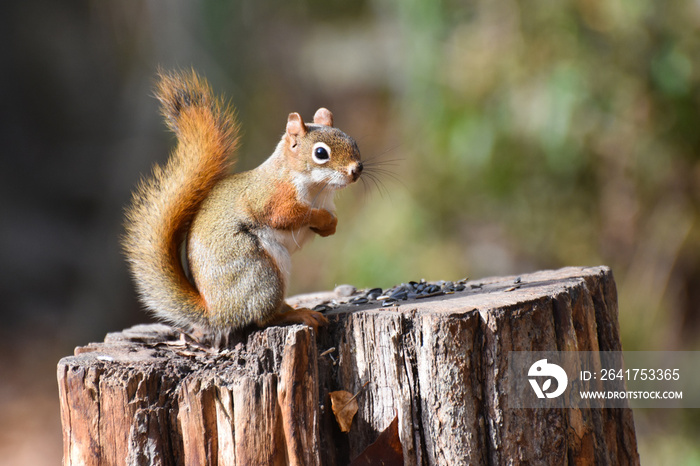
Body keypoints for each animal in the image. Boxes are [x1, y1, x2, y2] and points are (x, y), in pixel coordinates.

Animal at [122, 69, 360, 334]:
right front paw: (323, 219)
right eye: (320, 153)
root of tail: (217, 312)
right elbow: (287, 216)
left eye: (352, 142)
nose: (356, 169)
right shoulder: (271, 197)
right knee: (263, 317)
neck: (319, 189)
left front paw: (331, 226)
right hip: (260, 272)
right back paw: (297, 313)